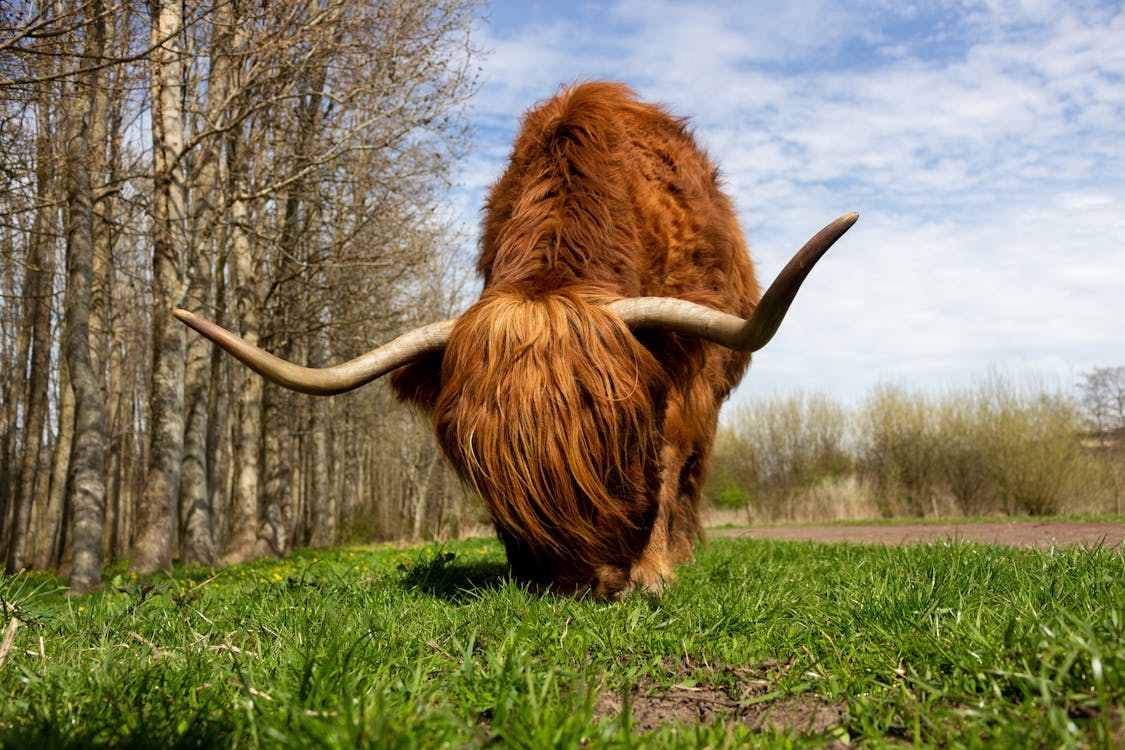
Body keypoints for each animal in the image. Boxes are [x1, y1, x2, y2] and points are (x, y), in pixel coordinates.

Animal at [175, 82, 855, 598]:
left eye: (622, 441)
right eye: (483, 463)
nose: (579, 582)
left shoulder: (688, 380)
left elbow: (669, 460)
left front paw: (655, 570)